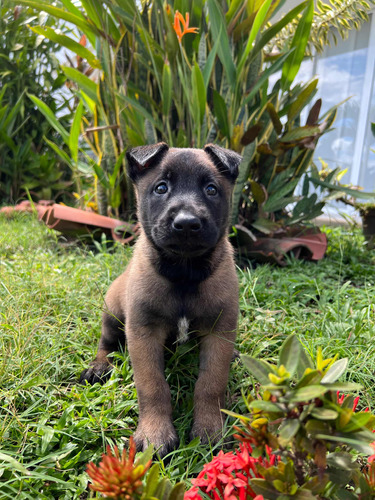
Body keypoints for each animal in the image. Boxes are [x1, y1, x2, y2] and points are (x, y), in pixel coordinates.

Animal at [81, 143, 242, 458]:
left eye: (211, 189)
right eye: (161, 188)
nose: (187, 223)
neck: (184, 273)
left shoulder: (219, 331)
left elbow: (210, 383)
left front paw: (210, 429)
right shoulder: (143, 332)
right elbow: (152, 385)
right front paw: (154, 433)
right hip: (112, 313)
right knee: (106, 343)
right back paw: (99, 367)